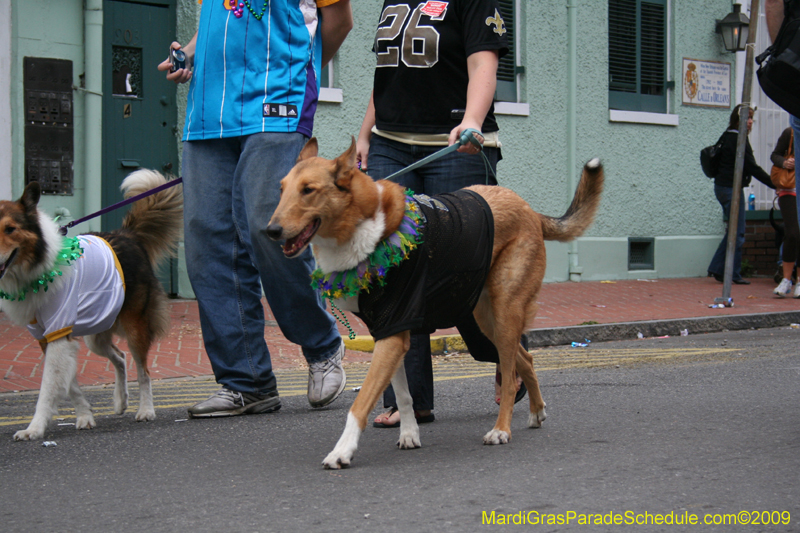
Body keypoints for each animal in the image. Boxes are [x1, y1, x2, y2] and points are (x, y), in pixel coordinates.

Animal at [0, 170, 183, 440]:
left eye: (10, 229)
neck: (37, 264)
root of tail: (127, 234)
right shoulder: (48, 337)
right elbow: (70, 384)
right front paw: (85, 415)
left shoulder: (58, 332)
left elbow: (48, 388)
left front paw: (35, 428)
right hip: (96, 332)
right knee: (120, 356)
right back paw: (120, 400)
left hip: (135, 327)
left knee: (144, 372)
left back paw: (146, 410)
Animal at [266, 137, 604, 466]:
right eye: (281, 189)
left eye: (308, 190)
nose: (271, 231)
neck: (365, 224)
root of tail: (529, 209)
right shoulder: (389, 331)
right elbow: (403, 395)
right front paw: (409, 434)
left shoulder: (394, 330)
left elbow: (360, 404)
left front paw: (342, 452)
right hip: (486, 319)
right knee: (526, 358)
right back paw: (536, 411)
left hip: (503, 312)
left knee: (510, 376)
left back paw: (501, 429)